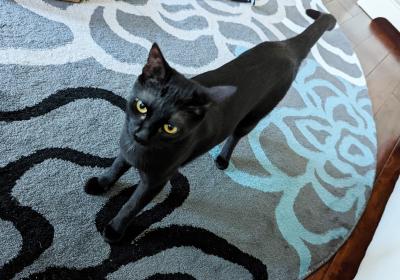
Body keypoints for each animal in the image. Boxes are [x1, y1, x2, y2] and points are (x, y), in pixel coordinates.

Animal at [85, 9, 338, 243]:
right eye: (142, 107)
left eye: (170, 128)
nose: (141, 134)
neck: (138, 150)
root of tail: (287, 46)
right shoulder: (126, 147)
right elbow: (116, 167)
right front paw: (101, 183)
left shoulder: (155, 181)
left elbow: (132, 205)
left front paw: (114, 230)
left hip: (254, 115)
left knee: (236, 135)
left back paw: (223, 158)